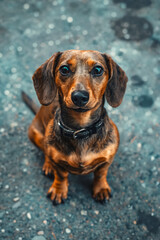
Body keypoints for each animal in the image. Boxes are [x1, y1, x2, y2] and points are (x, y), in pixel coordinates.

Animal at [22, 50, 127, 204]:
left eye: (98, 70)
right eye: (64, 69)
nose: (79, 96)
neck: (80, 130)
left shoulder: (107, 160)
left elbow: (101, 174)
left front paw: (101, 189)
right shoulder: (58, 163)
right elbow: (61, 175)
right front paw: (59, 190)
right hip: (35, 134)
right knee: (45, 151)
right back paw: (48, 165)